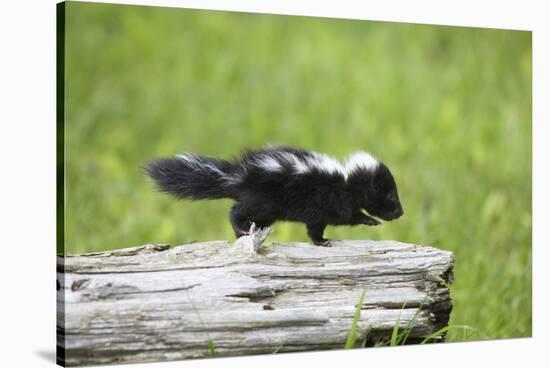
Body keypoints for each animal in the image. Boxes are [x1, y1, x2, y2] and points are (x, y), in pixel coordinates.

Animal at [147, 145, 406, 246]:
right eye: (390, 197)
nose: (401, 212)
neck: (346, 180)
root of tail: (239, 177)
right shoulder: (329, 201)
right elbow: (338, 219)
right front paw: (368, 221)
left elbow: (317, 225)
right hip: (263, 201)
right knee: (236, 211)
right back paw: (241, 230)